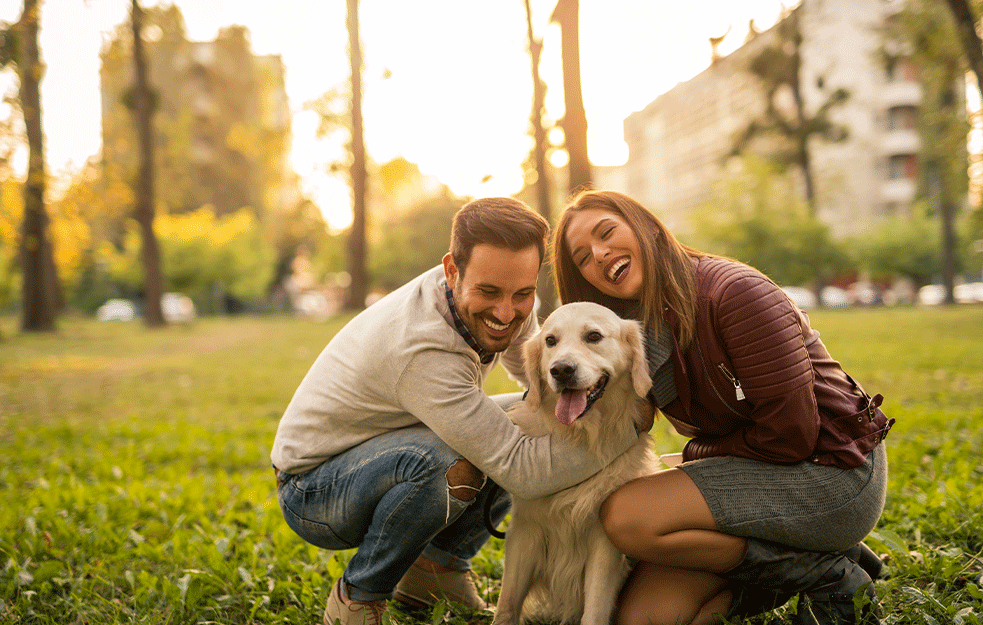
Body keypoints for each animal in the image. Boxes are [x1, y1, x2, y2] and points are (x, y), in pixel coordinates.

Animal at [496, 302, 664, 624]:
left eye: (594, 336)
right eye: (550, 340)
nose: (561, 370)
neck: (581, 436)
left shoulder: (603, 542)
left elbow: (595, 607)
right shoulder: (524, 529)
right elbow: (507, 604)